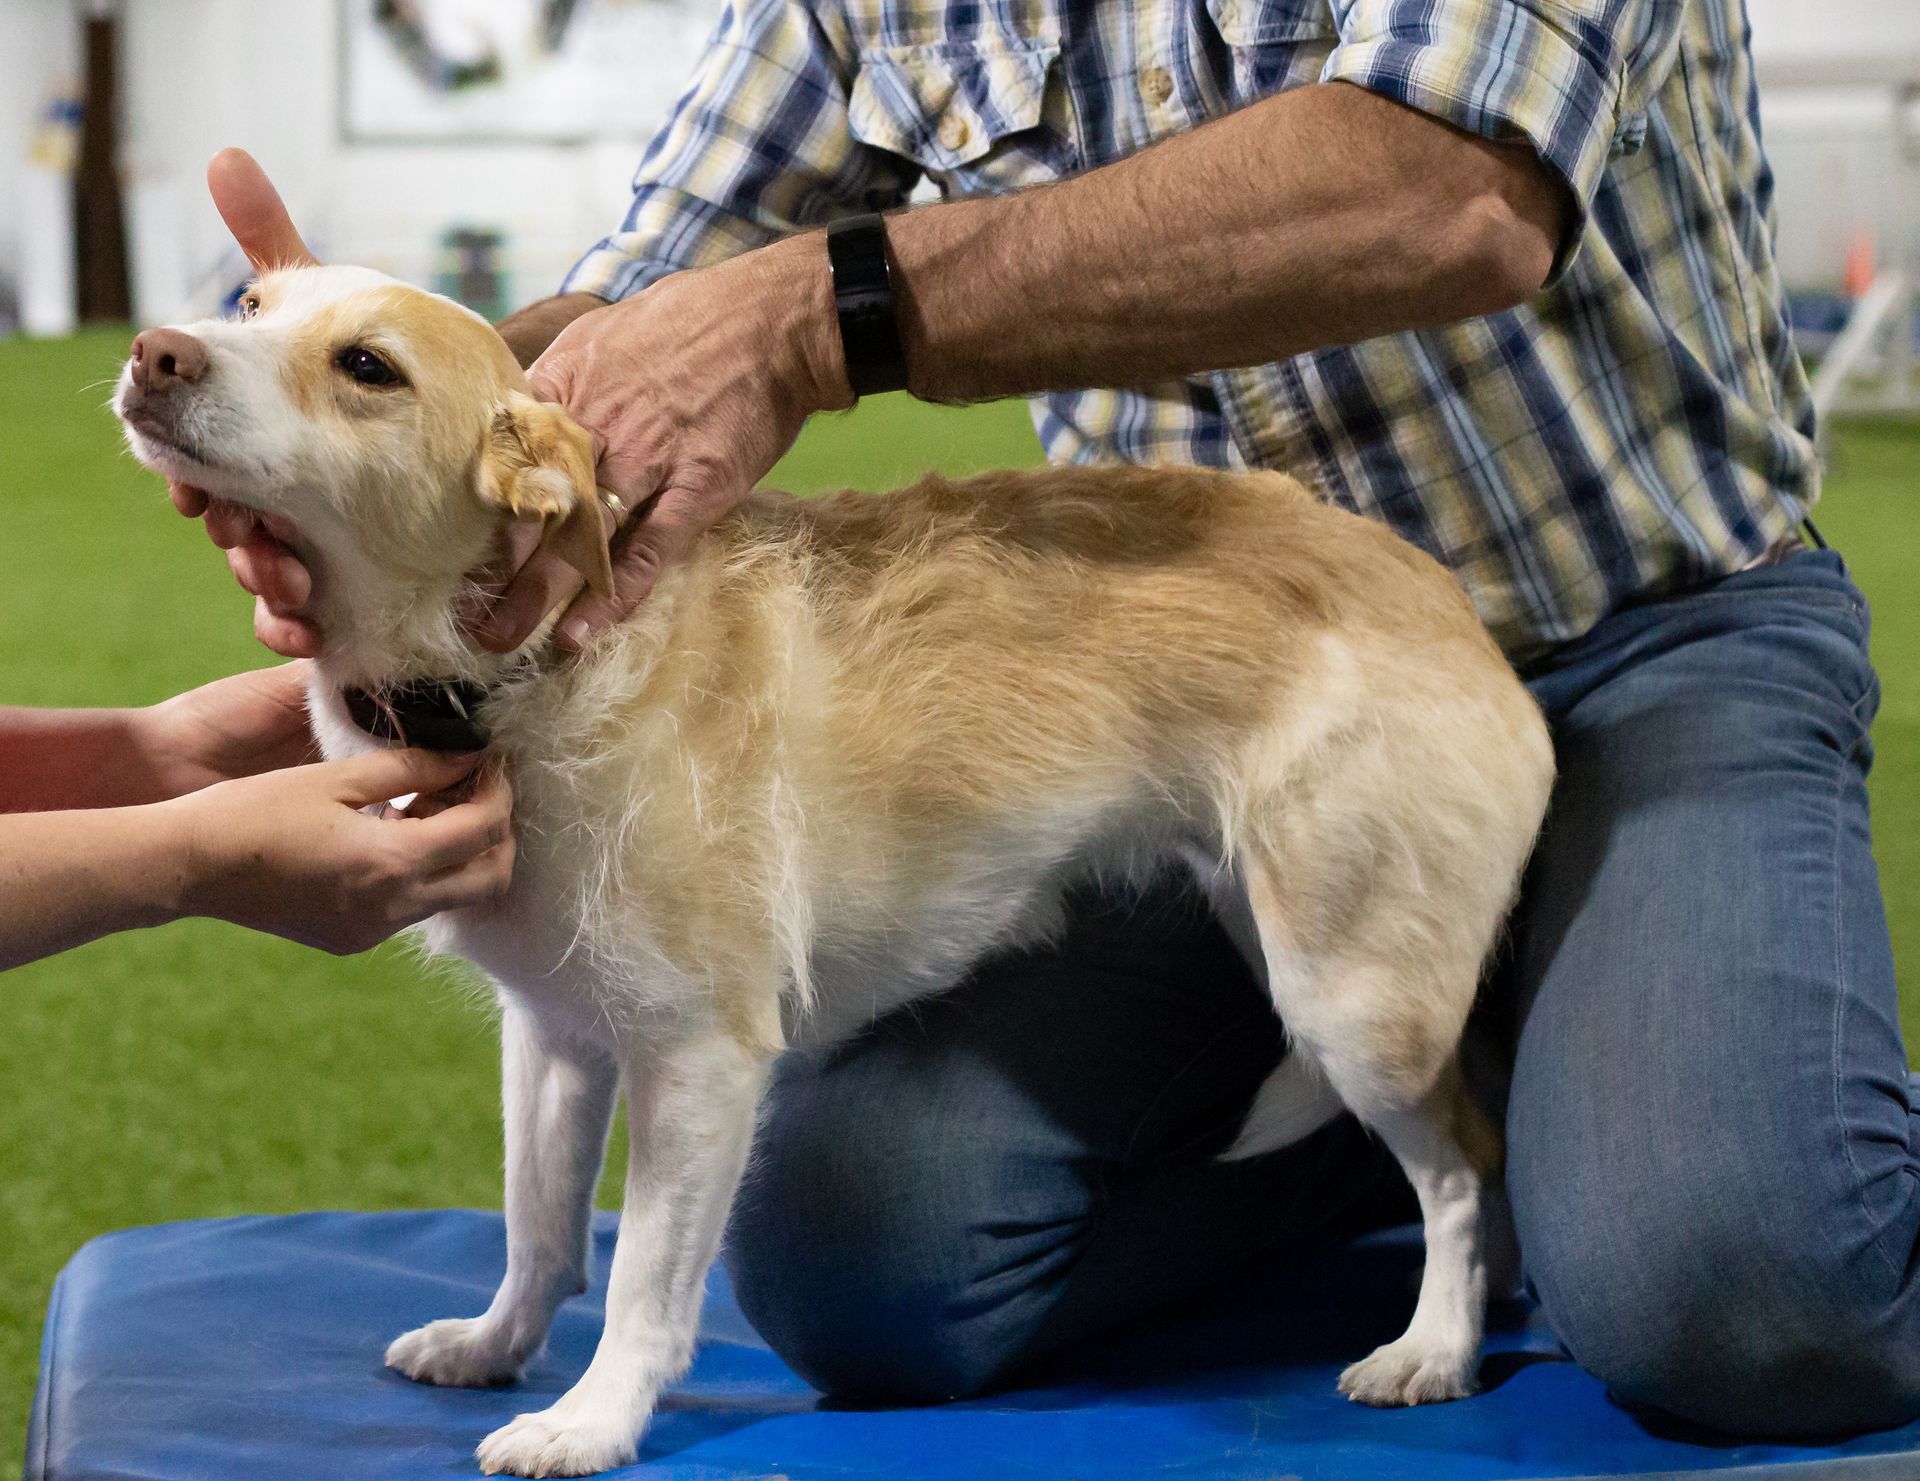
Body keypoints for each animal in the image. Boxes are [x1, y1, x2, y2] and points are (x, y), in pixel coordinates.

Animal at [116, 268, 1559, 1481]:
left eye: (367, 366)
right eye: (252, 303)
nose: (153, 348)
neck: (518, 677)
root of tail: (1446, 602)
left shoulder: (700, 1060)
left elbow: (640, 1281)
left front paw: (592, 1419)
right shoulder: (555, 1033)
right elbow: (540, 1225)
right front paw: (493, 1345)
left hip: (1355, 997)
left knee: (1463, 1166)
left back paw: (1435, 1344)